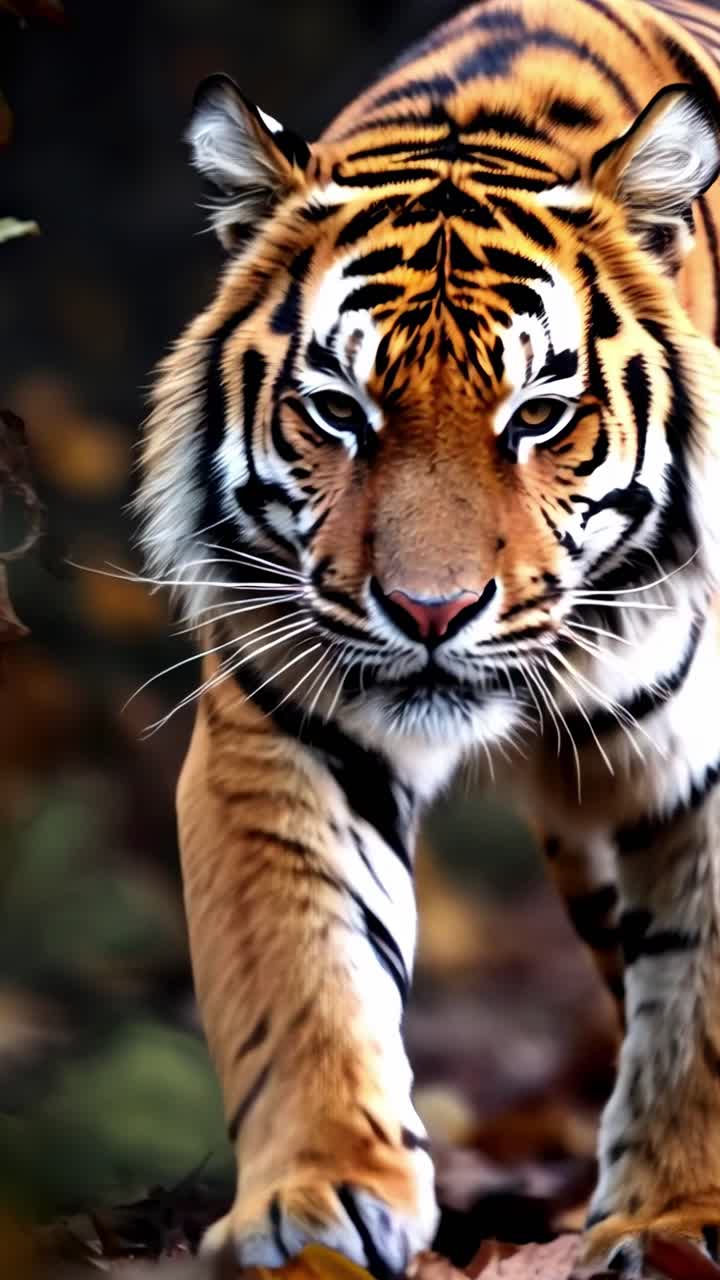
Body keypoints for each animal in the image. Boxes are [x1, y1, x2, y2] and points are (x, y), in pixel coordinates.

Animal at [136, 0, 720, 1273]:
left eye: (540, 414)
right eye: (338, 411)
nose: (431, 611)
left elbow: (703, 1014)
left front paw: (675, 1218)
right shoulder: (288, 726)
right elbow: (303, 961)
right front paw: (314, 1192)